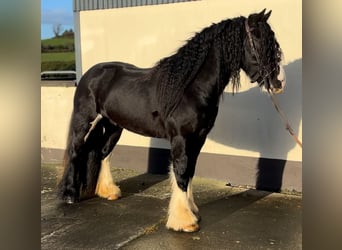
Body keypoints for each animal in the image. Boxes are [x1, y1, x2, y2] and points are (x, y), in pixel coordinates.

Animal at [59, 9, 286, 232]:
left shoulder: (198, 138)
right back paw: (70, 195)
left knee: (103, 153)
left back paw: (109, 192)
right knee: (76, 151)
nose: (278, 83)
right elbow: (181, 172)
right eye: (259, 40)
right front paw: (184, 221)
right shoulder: (181, 138)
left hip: (113, 125)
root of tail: (90, 74)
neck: (189, 88)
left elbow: (190, 170)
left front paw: (192, 211)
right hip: (84, 122)